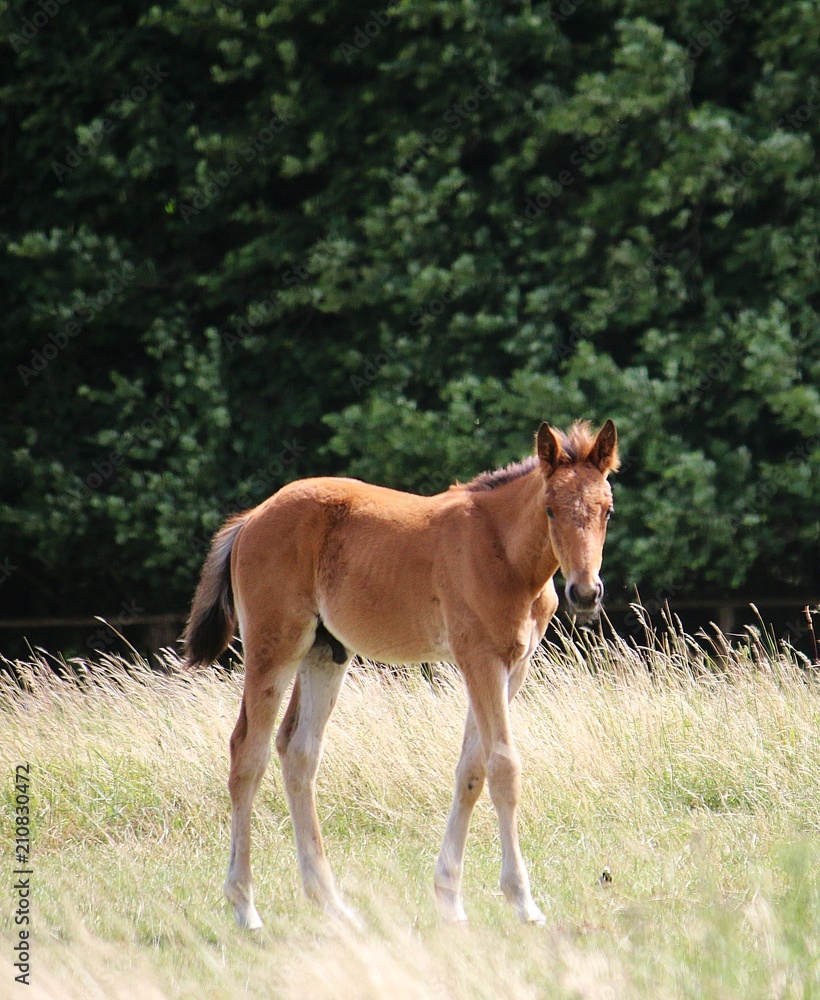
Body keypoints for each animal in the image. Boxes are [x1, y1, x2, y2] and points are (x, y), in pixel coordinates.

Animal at [184, 419, 619, 928]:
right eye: (550, 510)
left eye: (607, 510)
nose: (586, 593)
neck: (503, 553)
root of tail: (251, 517)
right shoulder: (480, 660)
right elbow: (503, 767)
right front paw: (522, 901)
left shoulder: (514, 667)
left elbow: (471, 769)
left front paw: (449, 898)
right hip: (274, 649)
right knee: (247, 754)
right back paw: (245, 907)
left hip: (325, 653)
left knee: (298, 751)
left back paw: (332, 903)